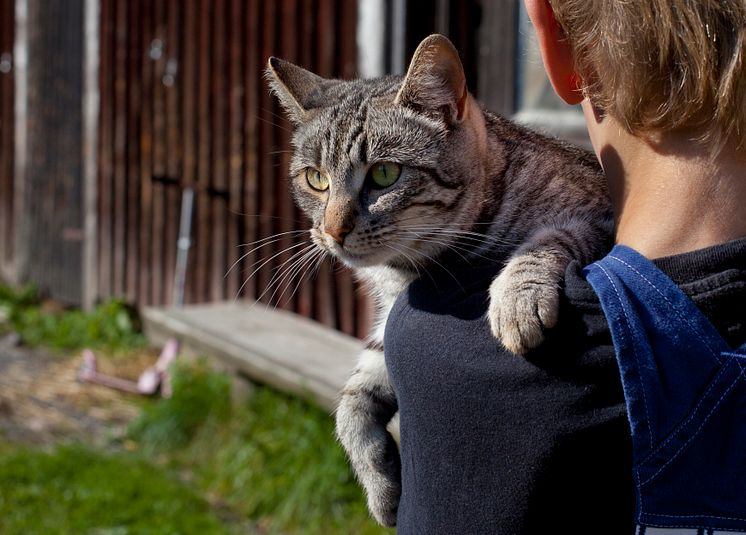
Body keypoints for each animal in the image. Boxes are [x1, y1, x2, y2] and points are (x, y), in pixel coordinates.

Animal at [268, 34, 612, 528]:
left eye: (384, 173)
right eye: (315, 179)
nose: (332, 231)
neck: (406, 270)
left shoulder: (599, 215)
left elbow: (550, 238)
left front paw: (516, 299)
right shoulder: (386, 329)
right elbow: (351, 402)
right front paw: (379, 484)